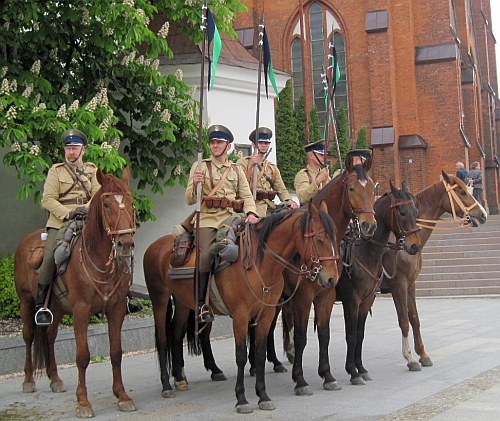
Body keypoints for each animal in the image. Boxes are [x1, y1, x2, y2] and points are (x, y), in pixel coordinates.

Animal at [14, 167, 138, 416]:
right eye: (106, 204)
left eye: (130, 202)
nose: (125, 244)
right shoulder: (81, 311)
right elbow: (82, 356)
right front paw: (83, 402)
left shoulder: (116, 309)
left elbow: (116, 353)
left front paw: (122, 396)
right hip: (25, 301)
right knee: (29, 336)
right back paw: (28, 380)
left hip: (57, 308)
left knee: (49, 336)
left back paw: (54, 378)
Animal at [143, 201, 342, 414]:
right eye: (319, 239)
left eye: (334, 238)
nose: (332, 278)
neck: (259, 264)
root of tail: (156, 246)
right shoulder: (242, 315)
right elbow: (240, 355)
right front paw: (242, 399)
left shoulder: (266, 313)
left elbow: (260, 352)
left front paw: (263, 395)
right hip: (159, 299)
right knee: (162, 339)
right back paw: (166, 385)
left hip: (182, 303)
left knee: (176, 334)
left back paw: (180, 379)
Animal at [336, 180, 422, 384]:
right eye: (402, 212)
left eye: (416, 210)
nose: (414, 245)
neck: (365, 252)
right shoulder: (352, 300)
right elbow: (351, 335)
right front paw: (352, 371)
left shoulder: (367, 300)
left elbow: (360, 334)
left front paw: (360, 368)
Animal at [380, 169, 486, 370]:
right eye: (462, 191)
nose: (483, 214)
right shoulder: (398, 284)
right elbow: (404, 321)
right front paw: (410, 357)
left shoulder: (411, 284)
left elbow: (414, 318)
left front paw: (422, 353)